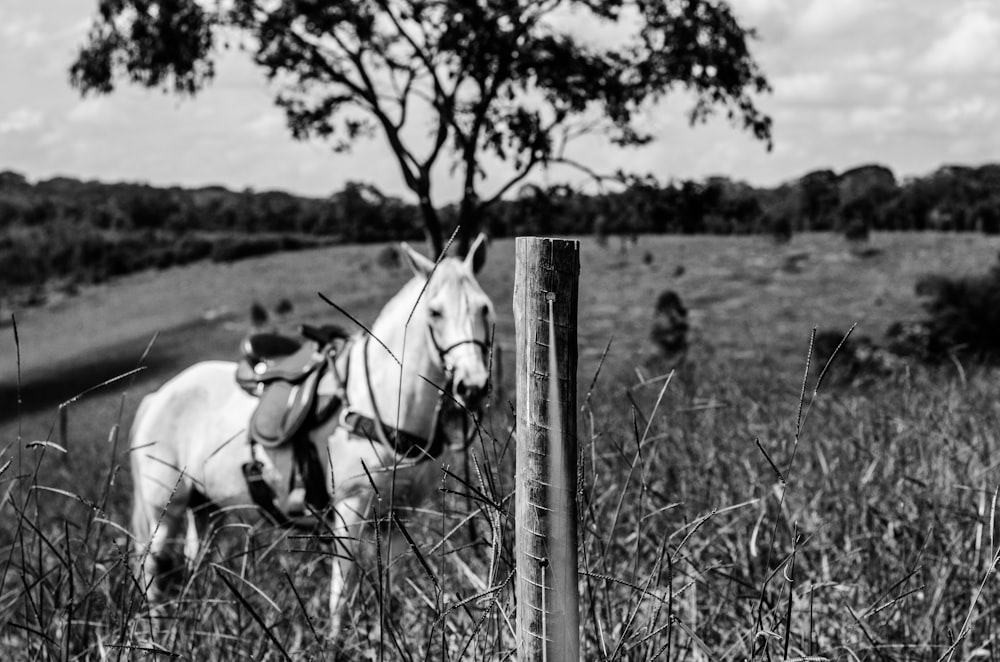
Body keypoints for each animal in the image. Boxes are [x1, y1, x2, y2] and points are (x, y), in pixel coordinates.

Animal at [129, 236, 496, 636]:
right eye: (435, 312)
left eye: (484, 308)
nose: (473, 386)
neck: (377, 400)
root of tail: (156, 397)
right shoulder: (350, 507)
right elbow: (342, 589)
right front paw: (338, 640)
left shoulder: (398, 517)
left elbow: (387, 580)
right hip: (164, 512)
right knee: (153, 572)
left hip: (205, 508)